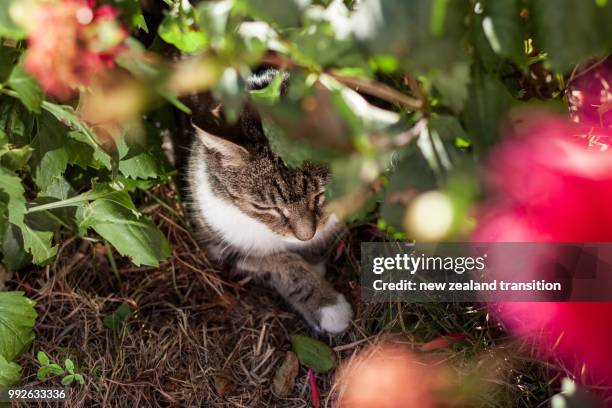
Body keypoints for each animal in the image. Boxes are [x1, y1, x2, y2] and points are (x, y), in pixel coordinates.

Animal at [184, 70, 352, 334]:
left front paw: (314, 257)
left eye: (320, 195)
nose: (305, 236)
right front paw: (327, 305)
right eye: (265, 207)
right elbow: (281, 264)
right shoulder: (222, 243)